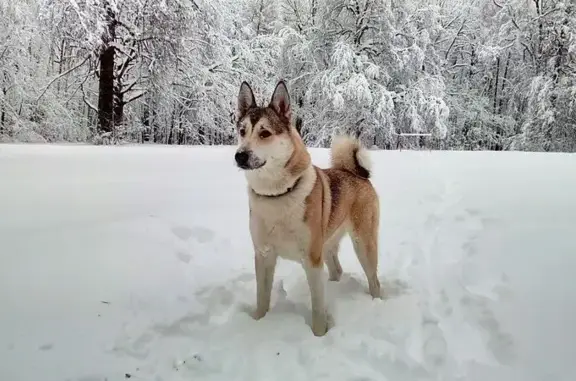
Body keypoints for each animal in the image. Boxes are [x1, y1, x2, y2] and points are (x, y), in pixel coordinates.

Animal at [234, 80, 382, 336]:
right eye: (242, 131)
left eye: (265, 133)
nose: (240, 156)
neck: (277, 195)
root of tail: (355, 172)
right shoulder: (263, 255)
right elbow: (262, 299)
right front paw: (258, 324)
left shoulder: (312, 259)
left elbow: (318, 307)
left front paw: (319, 335)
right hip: (328, 243)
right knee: (337, 270)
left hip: (363, 243)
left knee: (374, 280)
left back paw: (377, 304)